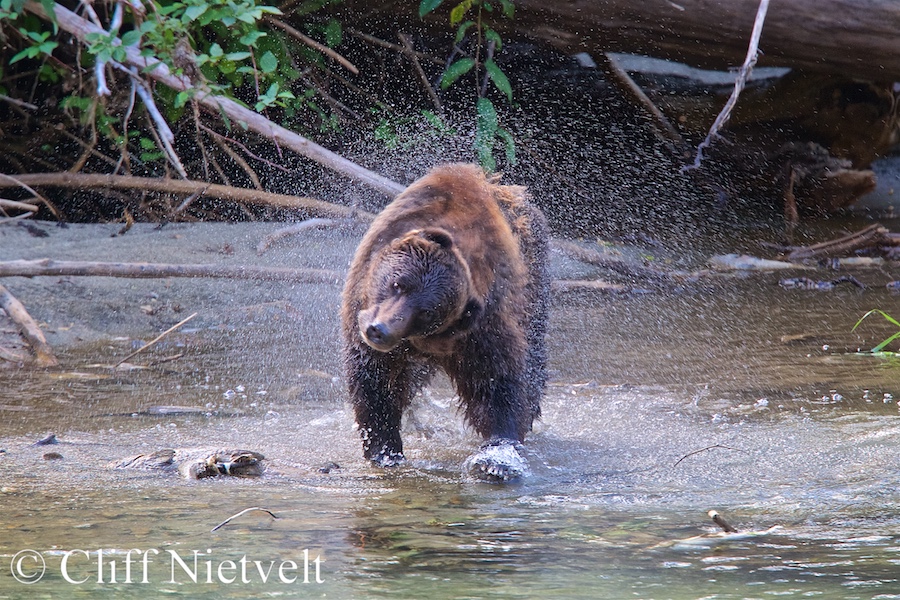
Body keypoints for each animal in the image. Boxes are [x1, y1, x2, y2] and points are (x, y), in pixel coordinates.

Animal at [342, 162, 548, 480]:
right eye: (398, 283)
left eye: (427, 312)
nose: (380, 331)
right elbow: (375, 382)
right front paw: (385, 451)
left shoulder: (481, 326)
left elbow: (496, 383)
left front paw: (496, 459)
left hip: (534, 287)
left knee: (534, 357)